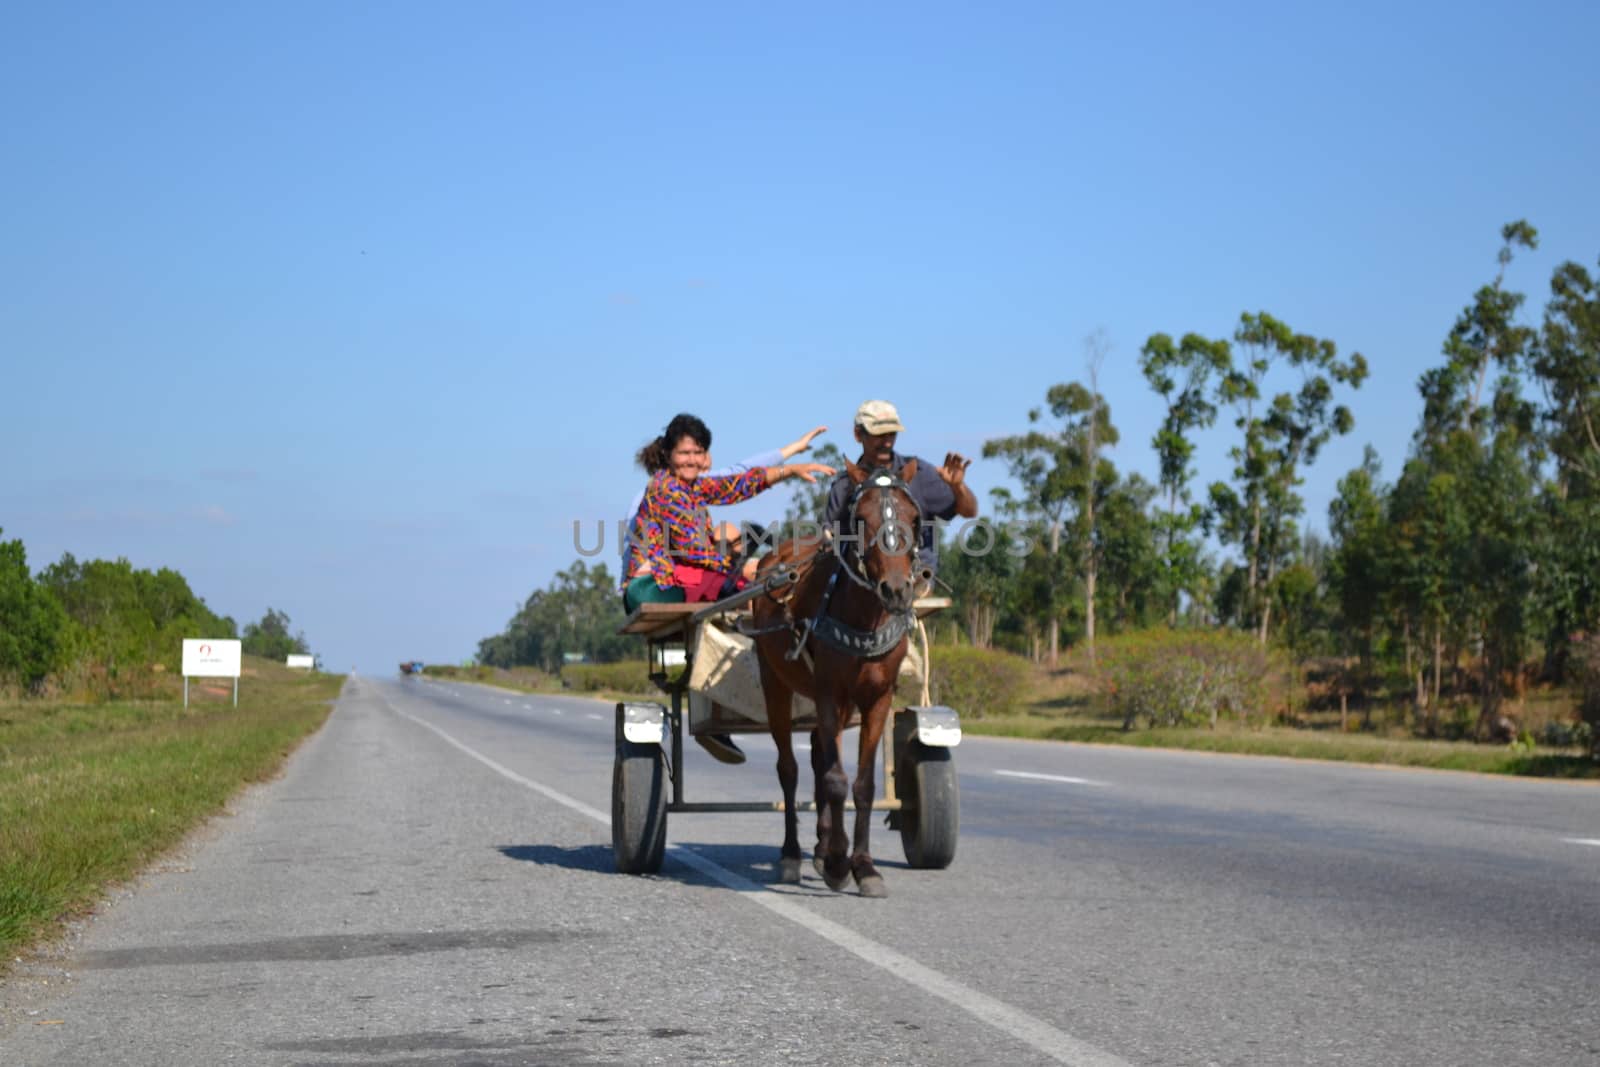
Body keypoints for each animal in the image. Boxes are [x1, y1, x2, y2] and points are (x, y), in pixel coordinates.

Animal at [752, 460, 934, 902]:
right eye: (861, 519)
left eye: (914, 518)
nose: (897, 589)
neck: (863, 615)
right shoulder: (829, 693)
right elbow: (835, 780)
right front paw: (838, 863)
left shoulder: (877, 697)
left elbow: (863, 785)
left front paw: (863, 865)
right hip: (775, 681)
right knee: (790, 768)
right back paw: (792, 853)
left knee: (819, 755)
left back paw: (820, 848)